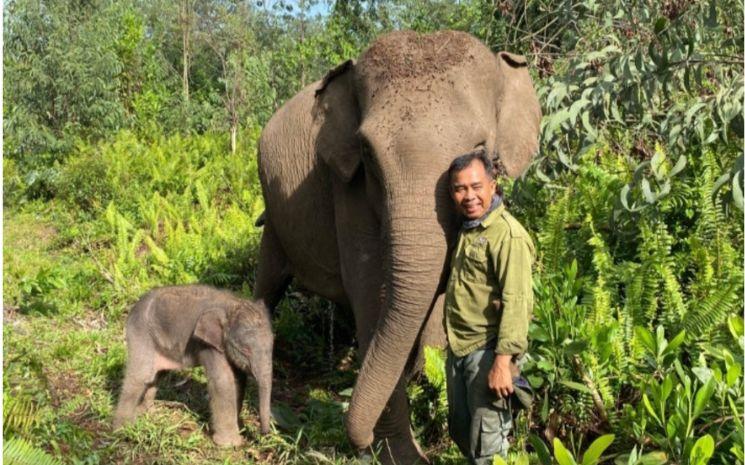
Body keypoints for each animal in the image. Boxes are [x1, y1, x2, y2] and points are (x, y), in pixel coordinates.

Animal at [112, 285, 273, 446]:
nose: (264, 434)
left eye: (272, 346)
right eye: (245, 350)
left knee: (156, 375)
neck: (232, 304)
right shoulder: (207, 344)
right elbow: (223, 381)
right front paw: (229, 444)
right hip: (141, 334)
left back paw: (145, 412)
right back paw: (122, 429)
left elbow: (239, 379)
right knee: (140, 375)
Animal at [253, 30, 541, 463]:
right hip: (274, 213)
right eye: (368, 153)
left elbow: (437, 297)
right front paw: (402, 456)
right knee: (267, 284)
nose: (358, 441)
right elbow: (372, 293)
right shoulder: (349, 190)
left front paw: (424, 379)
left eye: (480, 149)